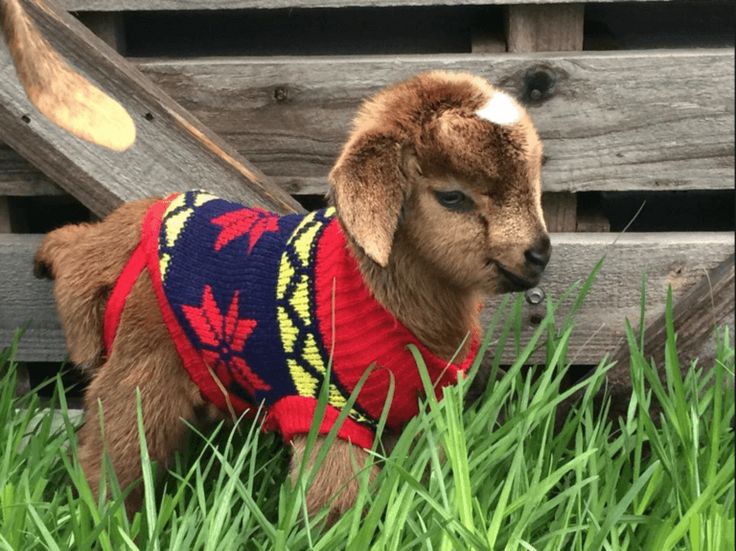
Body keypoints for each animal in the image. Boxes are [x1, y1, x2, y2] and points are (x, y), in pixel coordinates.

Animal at [36, 72, 552, 520]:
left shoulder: (417, 411)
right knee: (115, 451)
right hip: (143, 364)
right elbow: (337, 498)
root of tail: (133, 226)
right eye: (452, 197)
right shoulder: (326, 408)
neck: (380, 294)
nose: (540, 253)